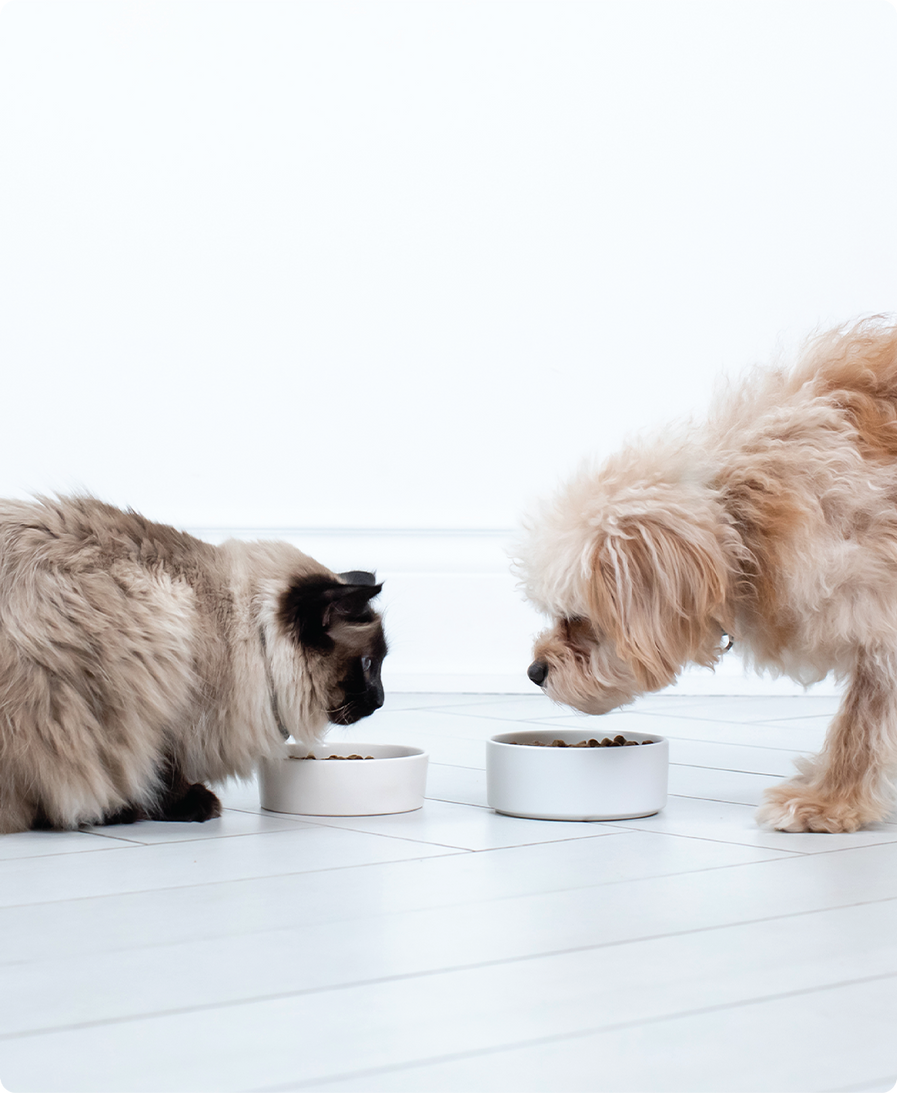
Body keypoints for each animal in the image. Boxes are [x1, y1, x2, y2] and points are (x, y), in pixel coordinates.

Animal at [0, 500, 384, 830]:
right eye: (368, 664)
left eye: (378, 664)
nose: (380, 701)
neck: (244, 631)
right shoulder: (155, 699)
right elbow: (158, 766)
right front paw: (185, 805)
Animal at [513, 319, 895, 830]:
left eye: (577, 618)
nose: (534, 671)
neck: (744, 520)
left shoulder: (881, 622)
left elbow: (861, 724)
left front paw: (827, 802)